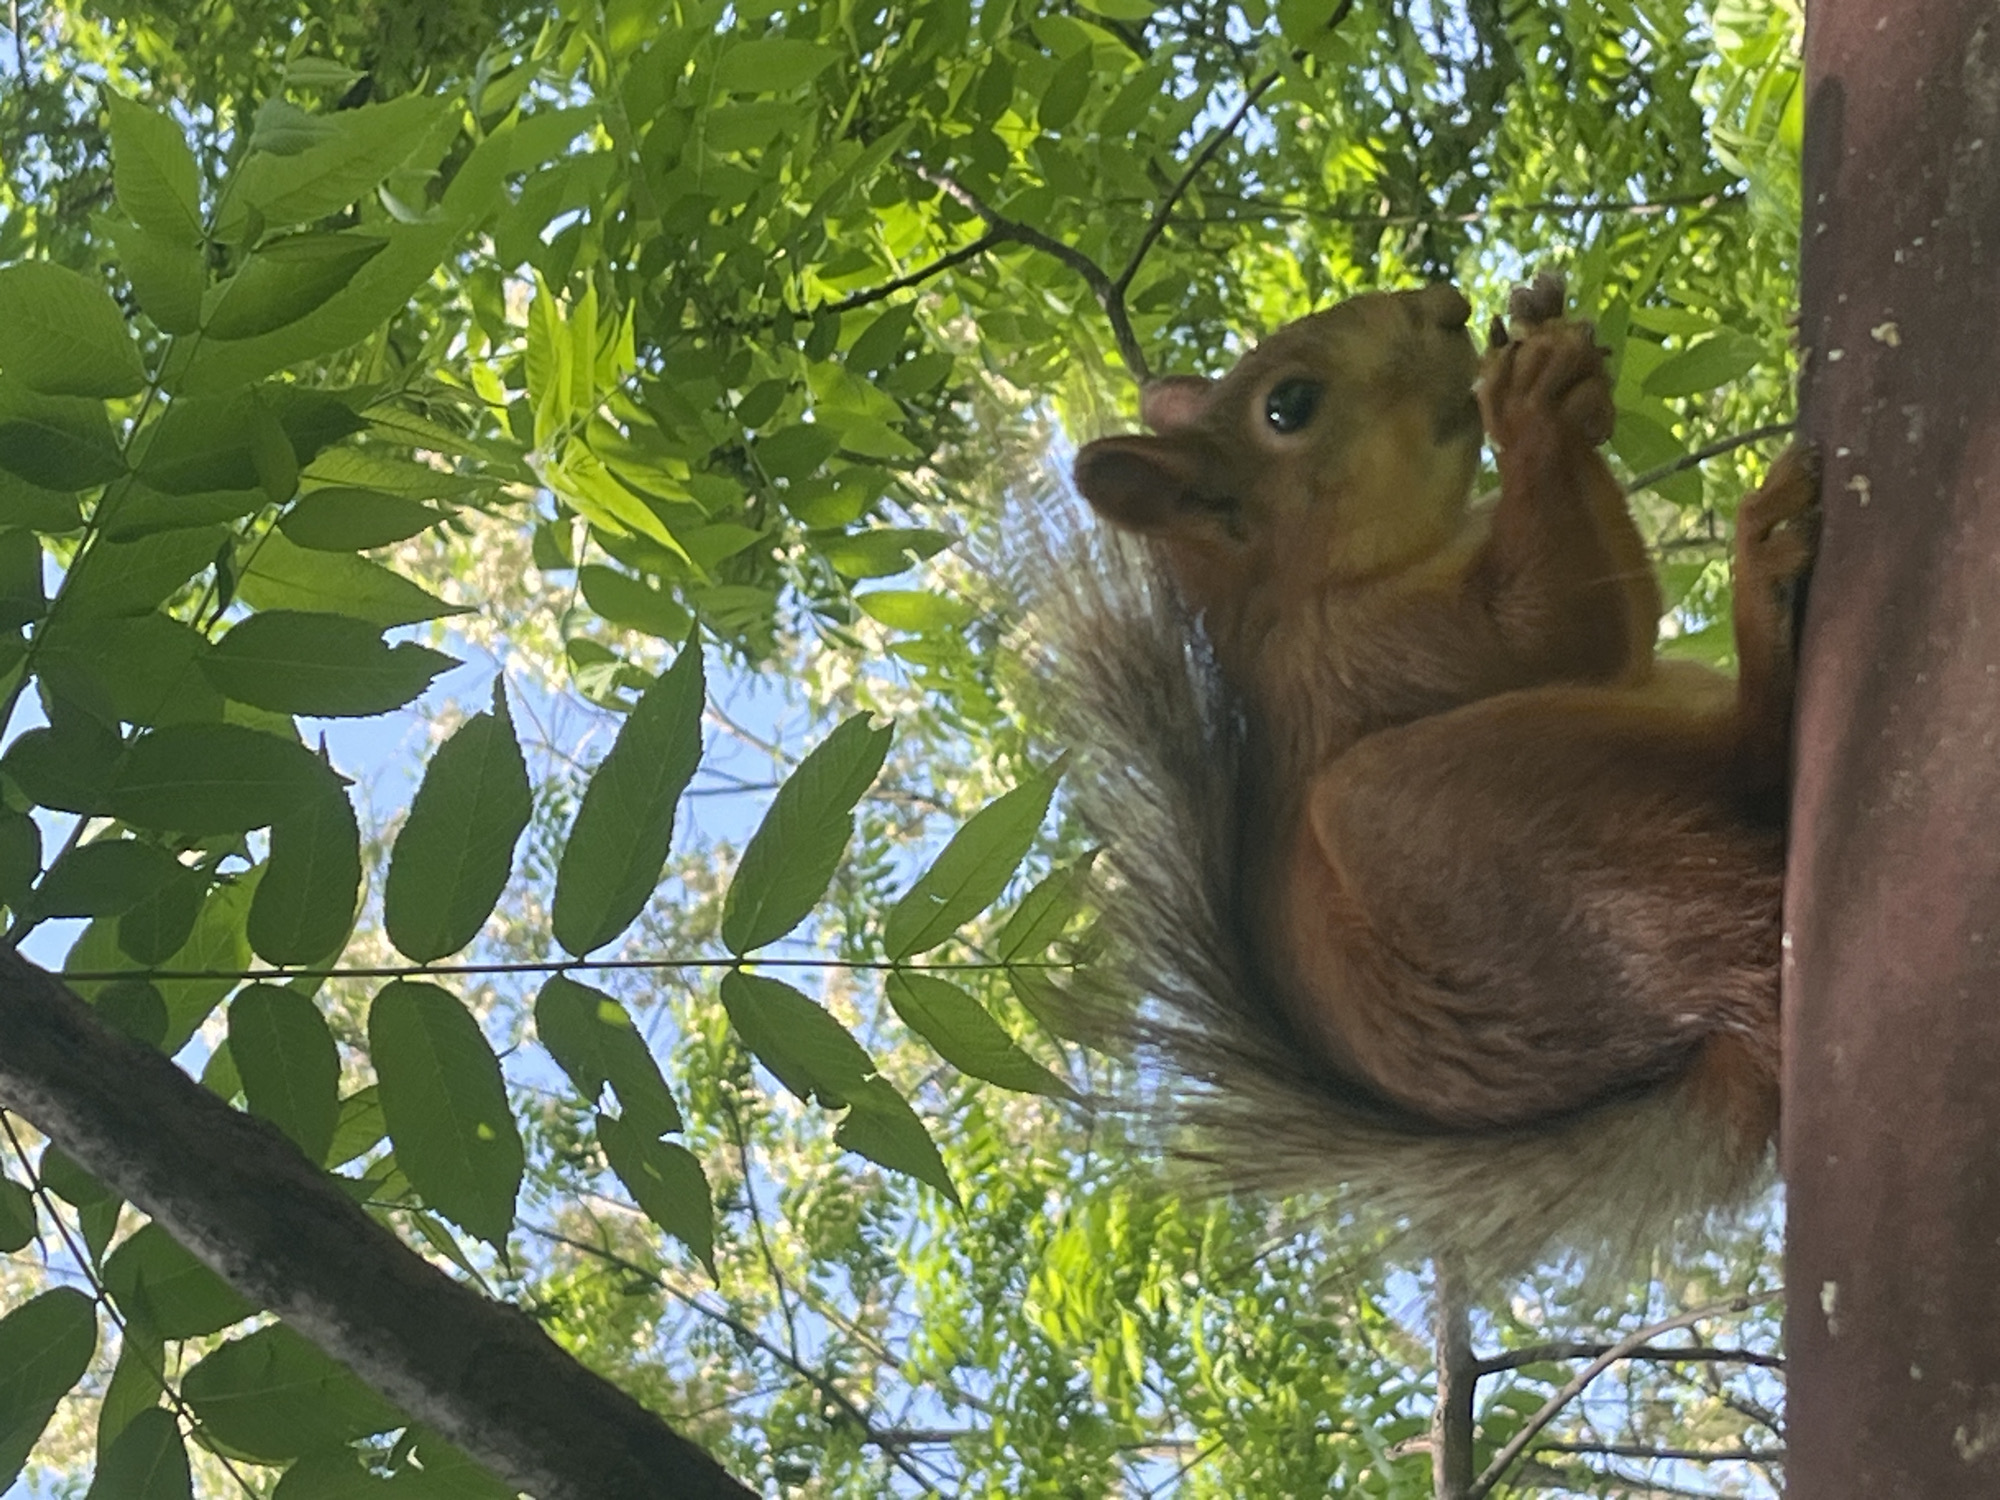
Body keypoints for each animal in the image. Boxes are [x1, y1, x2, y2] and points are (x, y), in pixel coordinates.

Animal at [1044, 277, 1817, 1272]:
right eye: (1287, 407)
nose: (1446, 303)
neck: (1302, 591)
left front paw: (1559, 356)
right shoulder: (1363, 657)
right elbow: (1556, 629)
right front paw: (1529, 405)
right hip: (1448, 812)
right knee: (1751, 758)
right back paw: (1762, 581)